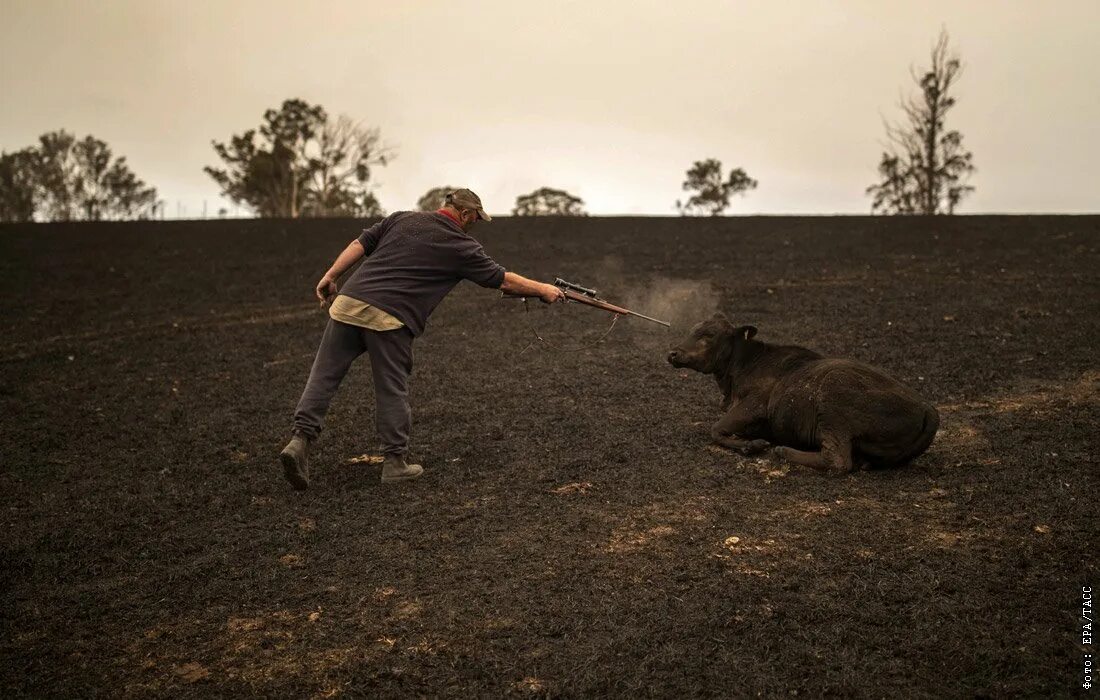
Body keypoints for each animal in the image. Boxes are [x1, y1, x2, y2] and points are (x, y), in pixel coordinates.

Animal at [664, 312, 941, 473]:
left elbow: (715, 430)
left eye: (709, 335)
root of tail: (928, 409)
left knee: (837, 461)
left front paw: (753, 445)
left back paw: (783, 451)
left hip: (833, 400)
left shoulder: (754, 405)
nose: (673, 353)